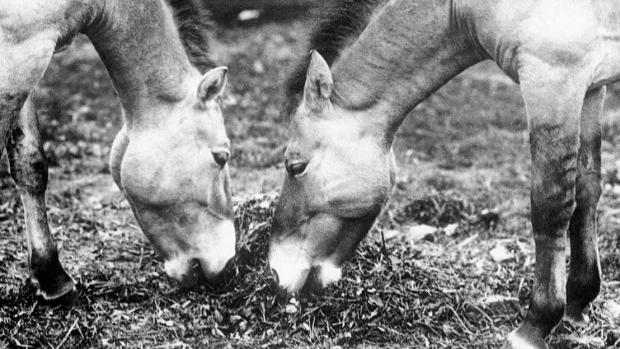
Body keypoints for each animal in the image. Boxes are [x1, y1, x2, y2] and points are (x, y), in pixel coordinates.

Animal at [0, 0, 236, 300]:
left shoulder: (28, 62)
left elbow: (30, 166)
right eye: (221, 157)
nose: (229, 263)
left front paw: (52, 277)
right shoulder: (20, 50)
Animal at [268, 0, 616, 348]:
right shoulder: (590, 88)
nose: (274, 273)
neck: (462, 8)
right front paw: (577, 301)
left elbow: (550, 208)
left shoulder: (552, 81)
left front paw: (535, 324)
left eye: (296, 166)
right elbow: (585, 192)